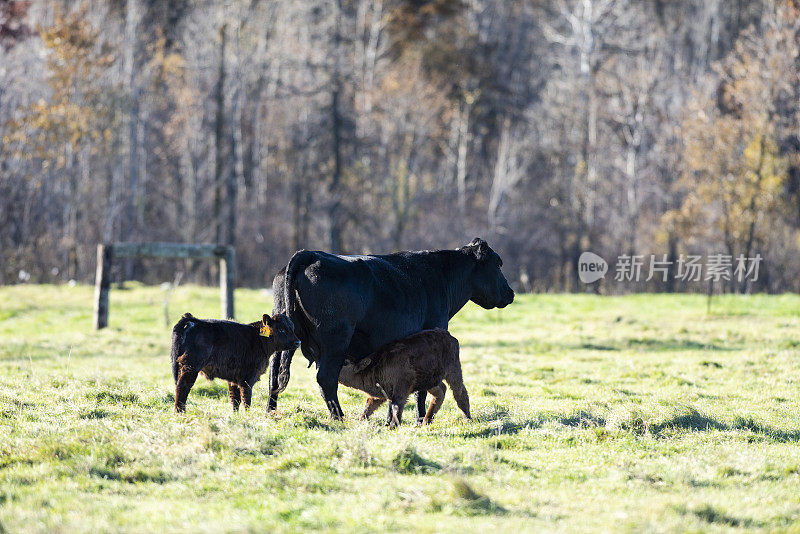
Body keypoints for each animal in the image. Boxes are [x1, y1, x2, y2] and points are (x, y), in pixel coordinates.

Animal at [268, 240, 516, 422]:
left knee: (274, 375)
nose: (511, 293)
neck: (441, 277)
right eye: (498, 264)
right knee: (326, 378)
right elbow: (422, 388)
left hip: (284, 335)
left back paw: (271, 412)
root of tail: (312, 254)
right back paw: (339, 418)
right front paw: (420, 419)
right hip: (336, 340)